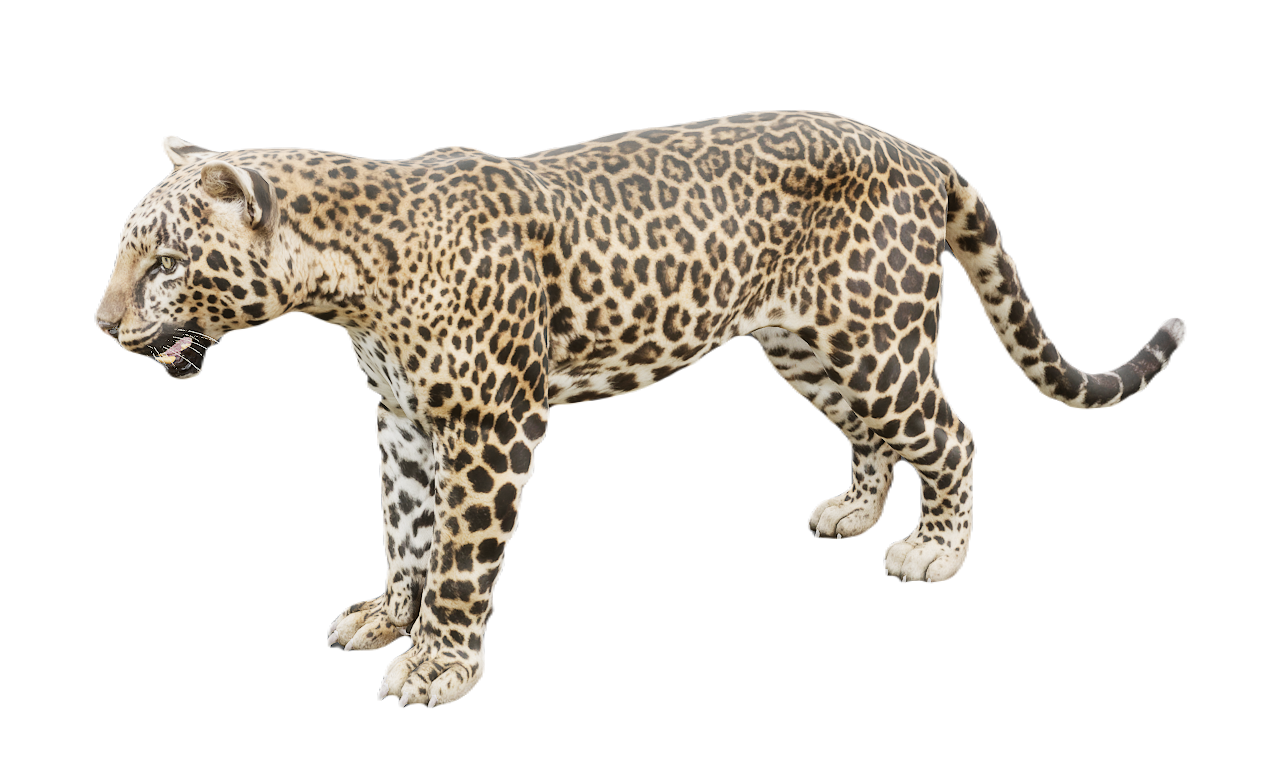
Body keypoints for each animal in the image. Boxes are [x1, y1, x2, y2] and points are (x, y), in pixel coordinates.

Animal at [95, 110, 1186, 708]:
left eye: (164, 261)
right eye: (127, 251)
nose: (102, 325)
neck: (348, 276)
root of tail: (924, 154)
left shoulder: (495, 425)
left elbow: (459, 557)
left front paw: (439, 663)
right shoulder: (400, 421)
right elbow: (404, 529)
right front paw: (384, 616)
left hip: (878, 336)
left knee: (952, 434)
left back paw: (935, 552)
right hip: (809, 347)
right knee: (875, 435)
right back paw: (854, 512)